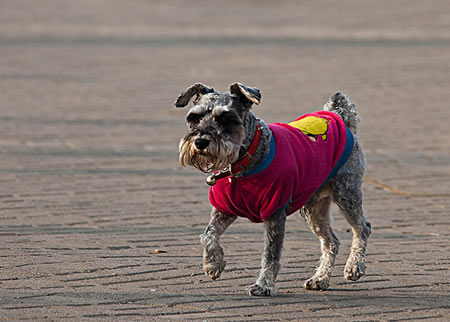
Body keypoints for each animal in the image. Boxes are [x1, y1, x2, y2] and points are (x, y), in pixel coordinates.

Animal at [174, 83, 370, 296]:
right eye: (194, 117)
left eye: (226, 118)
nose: (200, 142)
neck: (245, 161)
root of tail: (338, 117)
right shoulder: (223, 210)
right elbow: (207, 235)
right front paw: (213, 265)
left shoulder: (275, 212)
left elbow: (271, 254)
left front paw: (264, 285)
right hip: (314, 208)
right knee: (331, 241)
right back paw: (320, 278)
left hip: (346, 193)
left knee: (362, 228)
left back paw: (354, 266)